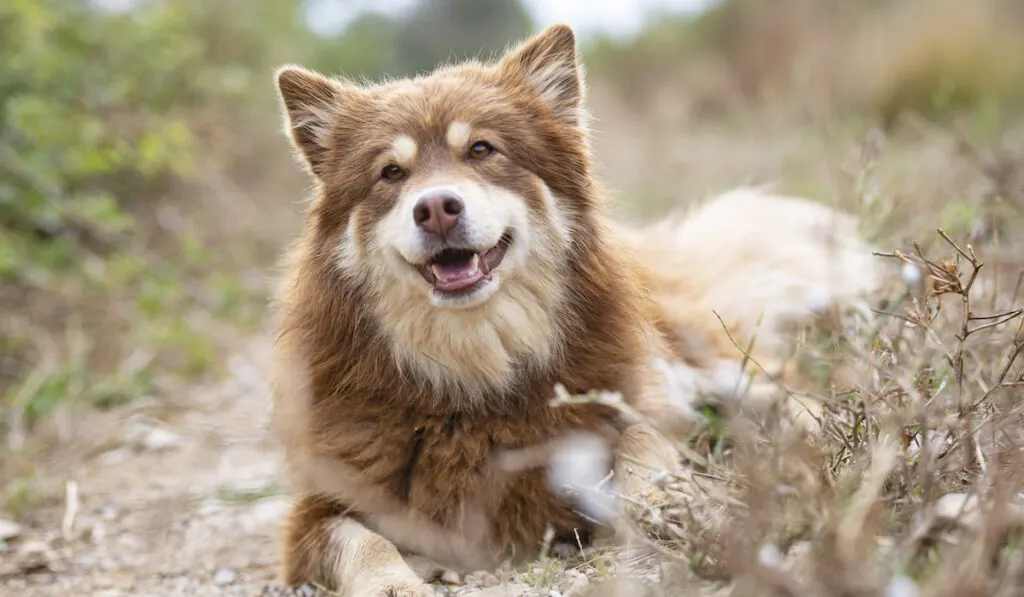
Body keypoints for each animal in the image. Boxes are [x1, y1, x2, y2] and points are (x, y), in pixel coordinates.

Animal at [268, 22, 884, 593]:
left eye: (481, 151)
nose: (437, 208)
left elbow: (642, 444)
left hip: (710, 365)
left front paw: (663, 504)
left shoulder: (632, 400)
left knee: (788, 387)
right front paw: (394, 582)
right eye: (391, 173)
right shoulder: (319, 512)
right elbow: (361, 542)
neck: (476, 370)